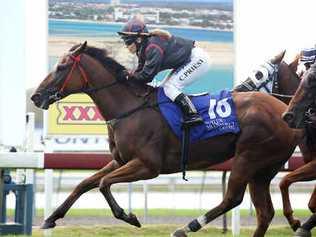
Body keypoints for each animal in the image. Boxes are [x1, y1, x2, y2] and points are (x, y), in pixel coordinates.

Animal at [31, 43, 302, 237]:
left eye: (62, 67)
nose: (36, 96)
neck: (130, 108)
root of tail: (284, 110)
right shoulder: (121, 161)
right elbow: (85, 183)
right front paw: (50, 218)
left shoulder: (148, 166)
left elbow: (104, 184)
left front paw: (129, 217)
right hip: (263, 169)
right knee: (264, 213)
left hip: (248, 157)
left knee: (233, 198)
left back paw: (186, 228)